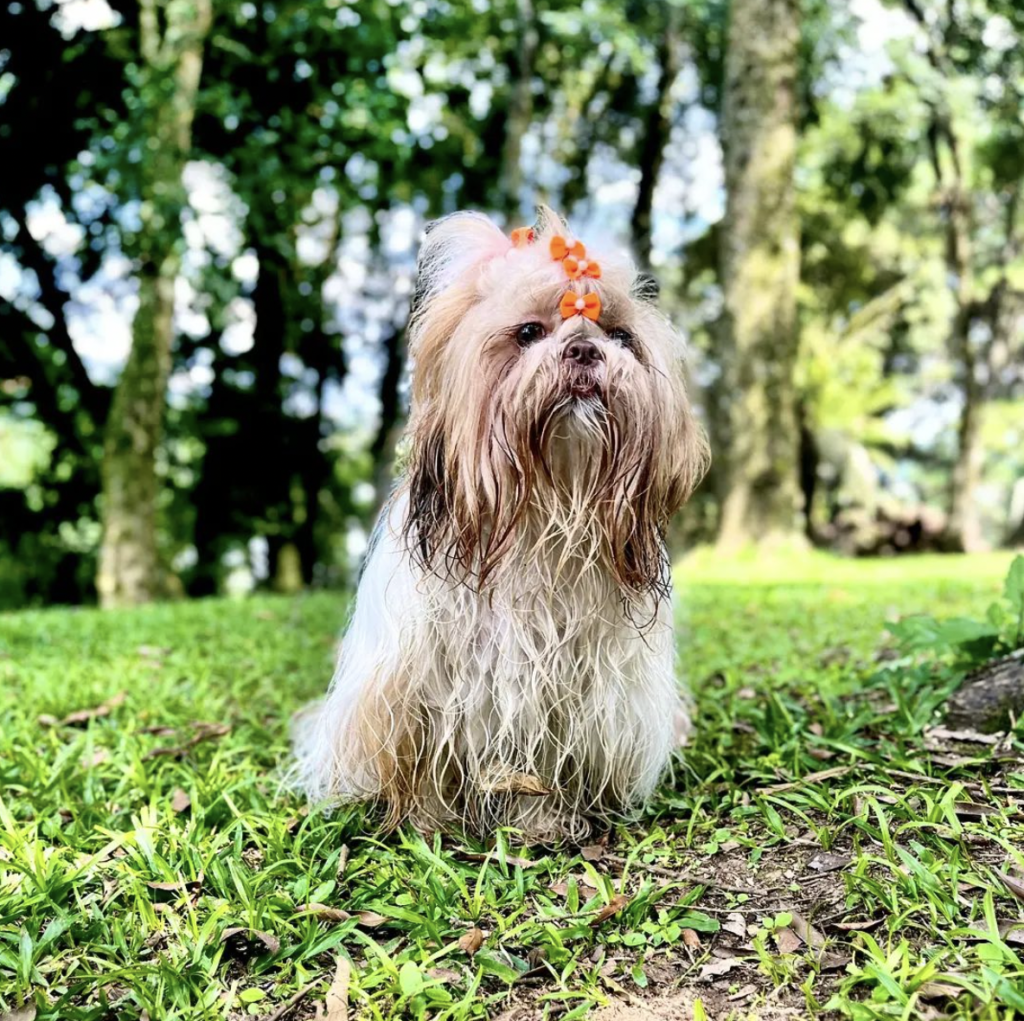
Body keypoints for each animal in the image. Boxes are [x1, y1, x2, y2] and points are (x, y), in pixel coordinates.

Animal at [292, 204, 708, 835]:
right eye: (529, 333)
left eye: (621, 337)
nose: (584, 349)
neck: (540, 512)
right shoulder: (418, 688)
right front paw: (428, 822)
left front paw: (540, 819)